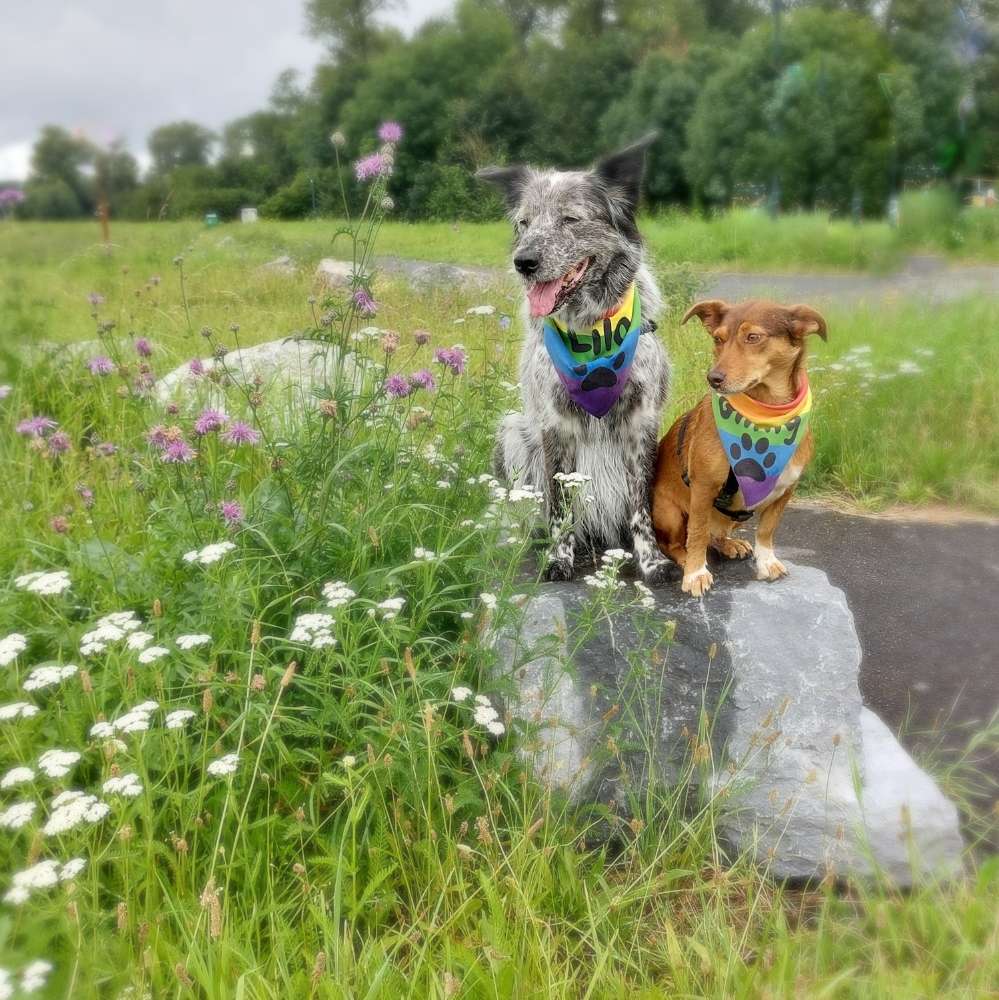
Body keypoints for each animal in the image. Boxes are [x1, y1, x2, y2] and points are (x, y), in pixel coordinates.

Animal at [476, 133, 672, 584]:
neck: (593, 332)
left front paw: (651, 561)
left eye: (569, 219)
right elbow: (560, 500)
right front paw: (558, 557)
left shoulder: (641, 423)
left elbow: (641, 505)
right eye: (524, 223)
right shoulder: (555, 426)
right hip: (513, 432)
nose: (523, 263)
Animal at [648, 296, 828, 592]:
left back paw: (729, 544)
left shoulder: (786, 489)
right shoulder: (703, 488)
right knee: (673, 543)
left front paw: (766, 562)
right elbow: (697, 533)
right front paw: (695, 573)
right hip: (668, 511)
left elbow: (766, 530)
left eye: (753, 337)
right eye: (718, 339)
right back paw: (685, 559)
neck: (765, 417)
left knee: (715, 535)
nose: (713, 378)